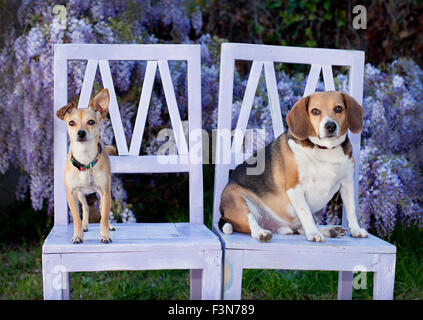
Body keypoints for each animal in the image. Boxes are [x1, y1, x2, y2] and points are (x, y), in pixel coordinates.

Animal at [56, 87, 117, 242]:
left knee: (102, 210)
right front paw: (78, 235)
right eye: (71, 123)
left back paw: (109, 226)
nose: (81, 132)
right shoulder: (71, 194)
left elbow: (104, 217)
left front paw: (105, 235)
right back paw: (85, 226)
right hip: (80, 194)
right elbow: (76, 218)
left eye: (91, 122)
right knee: (85, 207)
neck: (85, 158)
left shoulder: (105, 192)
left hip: (104, 192)